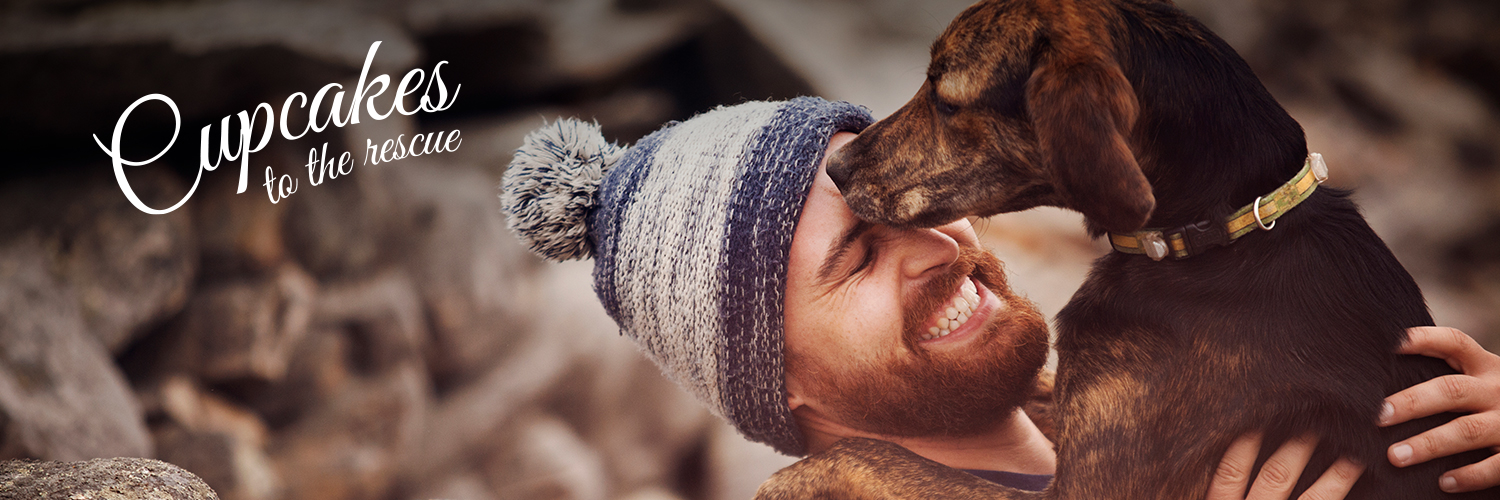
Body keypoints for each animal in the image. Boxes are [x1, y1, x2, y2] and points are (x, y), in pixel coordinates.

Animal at [762, 0, 1500, 498]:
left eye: (946, 100)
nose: (836, 168)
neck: (1215, 239)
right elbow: (1028, 393)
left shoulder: (1086, 493)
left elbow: (884, 455)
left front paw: (796, 475)